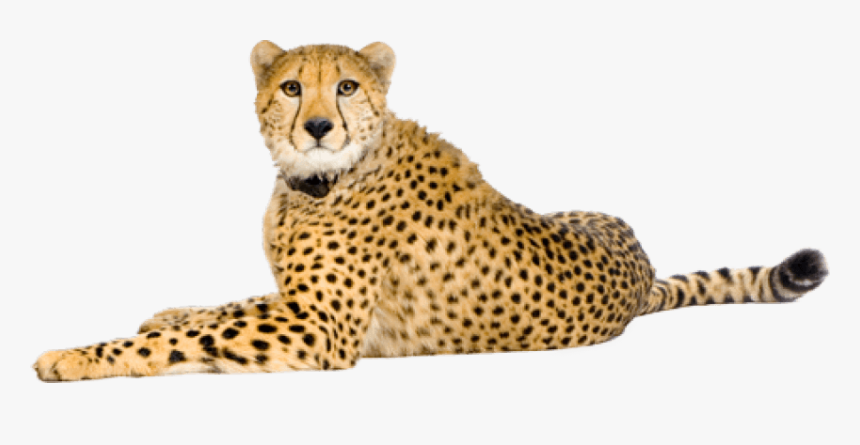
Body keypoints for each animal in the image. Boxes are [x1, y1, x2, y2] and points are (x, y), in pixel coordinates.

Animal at [34, 41, 829, 381]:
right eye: (291, 87)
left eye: (347, 86)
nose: (316, 125)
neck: (317, 181)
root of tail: (641, 266)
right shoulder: (296, 303)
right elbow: (222, 306)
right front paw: (168, 309)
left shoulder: (319, 329)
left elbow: (190, 339)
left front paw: (74, 354)